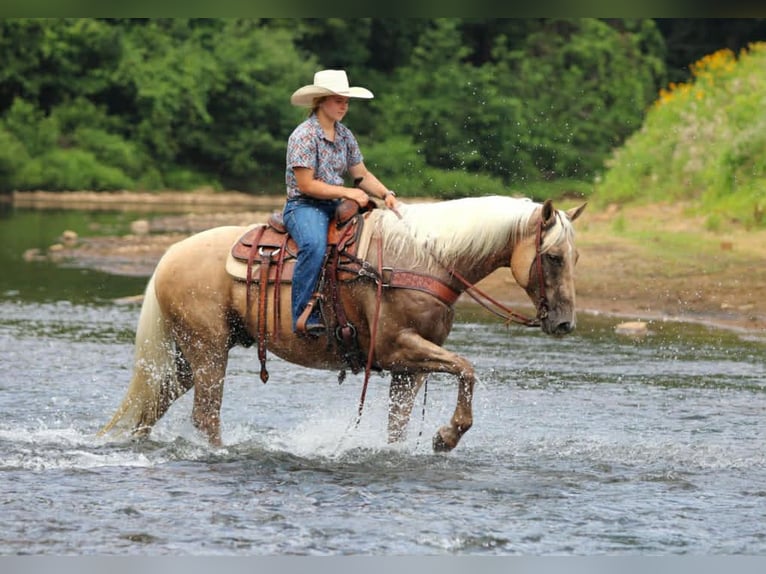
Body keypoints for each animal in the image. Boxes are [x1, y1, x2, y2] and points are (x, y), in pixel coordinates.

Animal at [99, 195, 586, 452]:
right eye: (553, 257)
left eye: (576, 256)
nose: (565, 324)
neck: (425, 259)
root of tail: (169, 255)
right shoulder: (397, 347)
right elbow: (467, 368)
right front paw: (447, 437)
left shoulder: (409, 368)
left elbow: (398, 425)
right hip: (208, 350)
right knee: (204, 415)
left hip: (183, 359)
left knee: (152, 405)